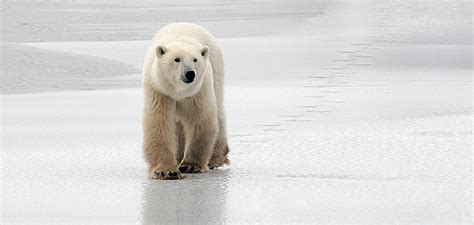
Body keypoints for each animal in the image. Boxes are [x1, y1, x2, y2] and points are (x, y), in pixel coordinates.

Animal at [142, 23, 229, 179]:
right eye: (177, 59)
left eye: (195, 59)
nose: (189, 73)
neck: (178, 92)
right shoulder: (159, 90)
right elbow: (159, 123)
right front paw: (166, 171)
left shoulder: (197, 92)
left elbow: (199, 120)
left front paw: (190, 165)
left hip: (216, 68)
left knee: (218, 112)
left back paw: (215, 158)